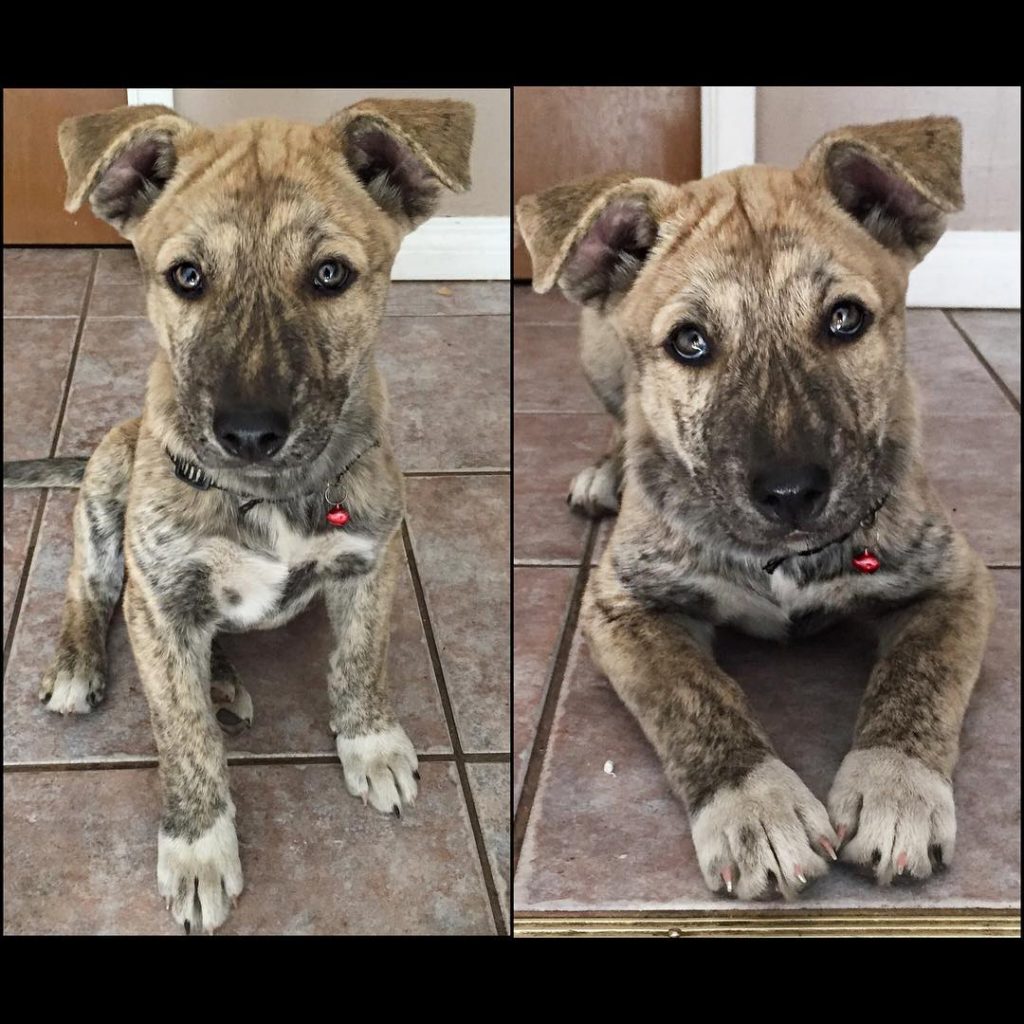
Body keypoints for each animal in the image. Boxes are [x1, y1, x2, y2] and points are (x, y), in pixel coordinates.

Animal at [3, 99, 475, 933]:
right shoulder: (160, 593)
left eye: (330, 275)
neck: (268, 492)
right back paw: (84, 664)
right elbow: (180, 731)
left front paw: (370, 743)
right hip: (110, 480)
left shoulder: (371, 560)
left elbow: (361, 658)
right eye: (186, 276)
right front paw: (198, 848)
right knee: (92, 587)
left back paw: (219, 681)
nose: (249, 432)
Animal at [516, 119, 995, 901]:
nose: (792, 492)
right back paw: (607, 472)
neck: (782, 560)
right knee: (626, 419)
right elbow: (696, 696)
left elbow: (919, 676)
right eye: (690, 342)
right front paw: (756, 807)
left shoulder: (956, 580)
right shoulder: (622, 604)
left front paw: (896, 788)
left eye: (845, 319)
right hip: (597, 349)